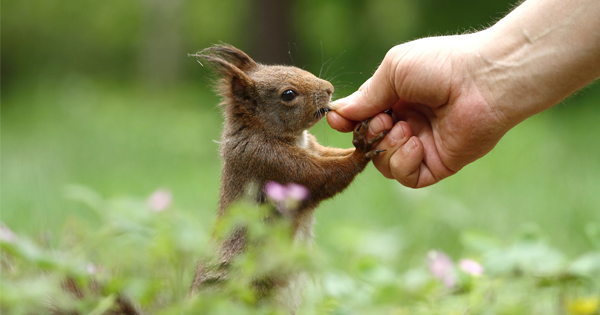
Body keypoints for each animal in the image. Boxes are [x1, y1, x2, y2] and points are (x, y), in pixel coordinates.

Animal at [189, 45, 390, 314]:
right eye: (288, 94)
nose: (329, 88)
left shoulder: (315, 148)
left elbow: (332, 155)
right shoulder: (272, 163)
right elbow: (324, 177)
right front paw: (362, 149)